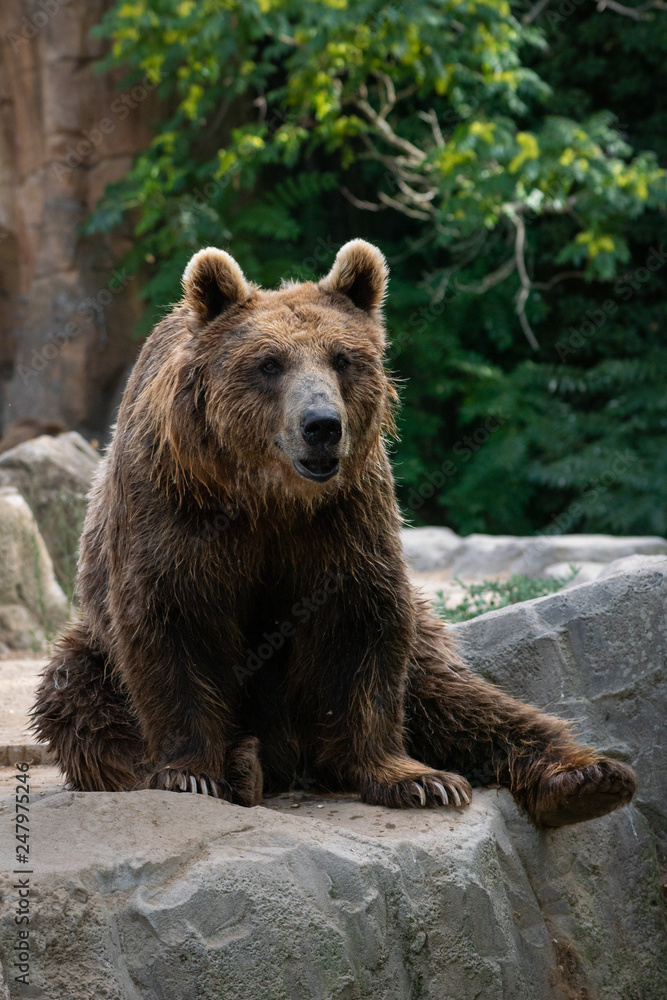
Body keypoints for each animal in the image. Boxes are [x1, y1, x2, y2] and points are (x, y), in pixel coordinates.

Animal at [31, 239, 636, 827]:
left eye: (343, 359)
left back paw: (585, 778)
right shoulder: (176, 505)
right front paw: (191, 773)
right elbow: (172, 620)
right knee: (81, 705)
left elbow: (359, 626)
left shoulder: (346, 517)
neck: (270, 498)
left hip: (426, 642)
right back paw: (239, 765)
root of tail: (293, 761)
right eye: (270, 363)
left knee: (455, 695)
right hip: (91, 653)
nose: (322, 425)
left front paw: (415, 779)